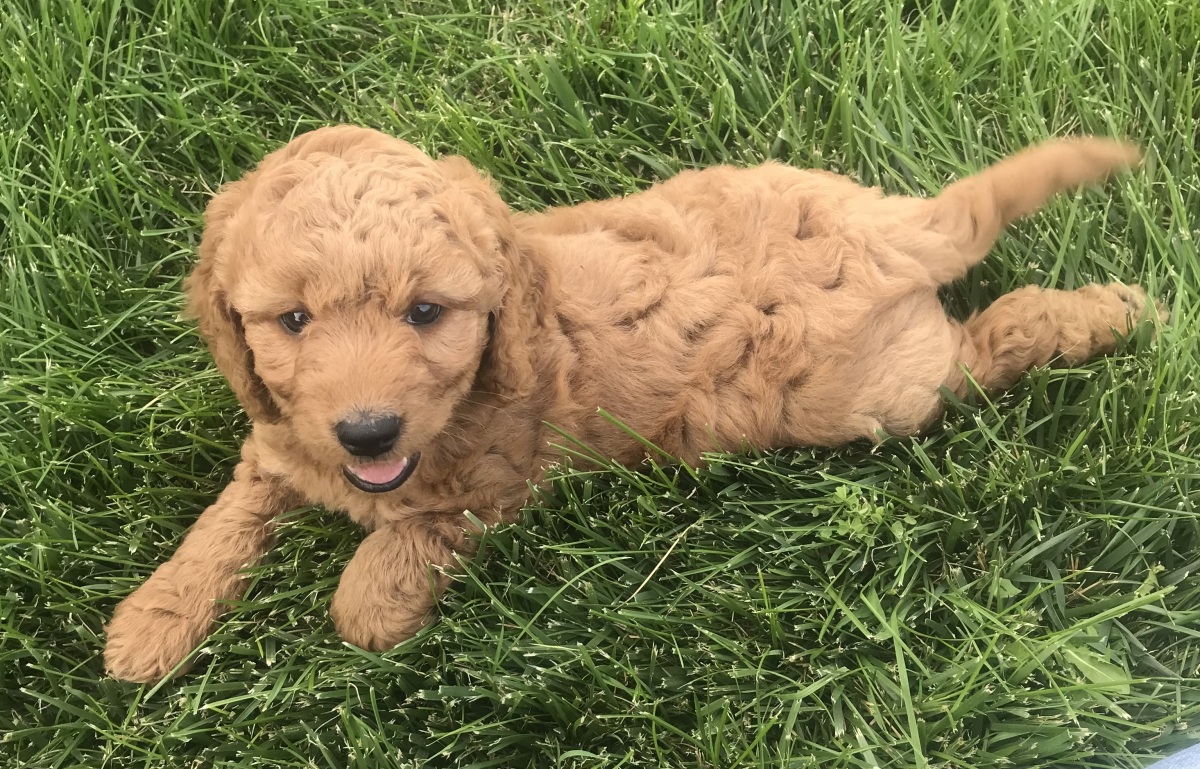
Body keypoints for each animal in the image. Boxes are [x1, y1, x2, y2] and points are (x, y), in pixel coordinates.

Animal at [105, 125, 1161, 681]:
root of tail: (898, 228)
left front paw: (374, 600)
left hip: (884, 391)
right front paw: (151, 623)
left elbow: (378, 576)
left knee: (1001, 335)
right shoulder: (276, 442)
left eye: (426, 312)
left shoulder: (495, 489)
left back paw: (1115, 310)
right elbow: (222, 523)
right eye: (290, 319)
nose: (367, 431)